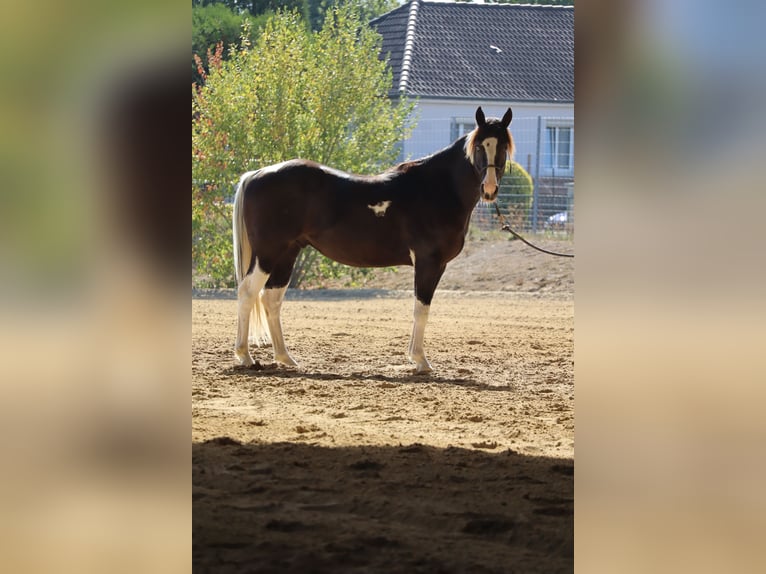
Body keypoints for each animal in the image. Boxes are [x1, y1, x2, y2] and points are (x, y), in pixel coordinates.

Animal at [232, 106, 514, 372]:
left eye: (502, 147)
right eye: (479, 146)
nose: (489, 190)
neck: (436, 188)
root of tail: (256, 173)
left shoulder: (435, 265)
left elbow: (419, 309)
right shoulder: (428, 262)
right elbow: (421, 309)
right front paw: (420, 360)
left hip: (287, 254)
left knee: (271, 299)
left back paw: (285, 358)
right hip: (267, 254)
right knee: (247, 293)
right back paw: (246, 356)